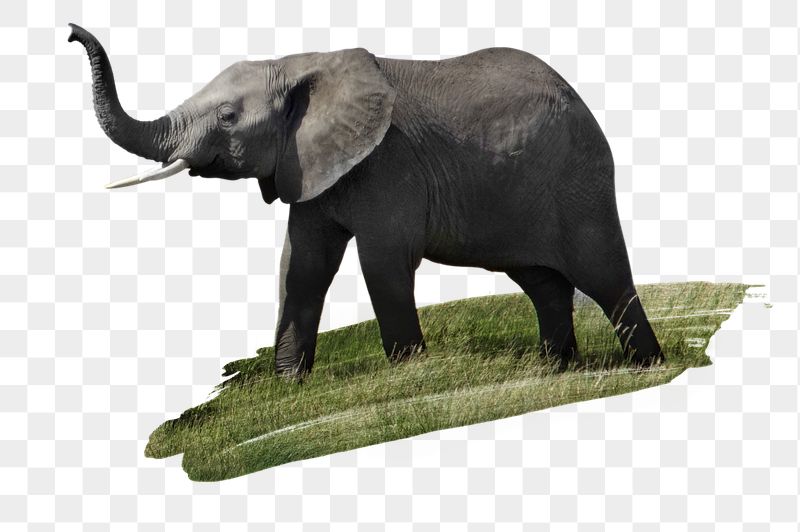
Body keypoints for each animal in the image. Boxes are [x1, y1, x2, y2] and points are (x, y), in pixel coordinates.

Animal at [69, 23, 664, 376]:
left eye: (228, 117)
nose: (72, 31)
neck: (301, 64)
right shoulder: (308, 167)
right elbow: (301, 267)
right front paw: (288, 387)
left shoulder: (388, 162)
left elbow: (382, 262)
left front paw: (409, 376)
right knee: (543, 282)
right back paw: (556, 372)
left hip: (579, 179)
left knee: (604, 275)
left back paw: (647, 369)